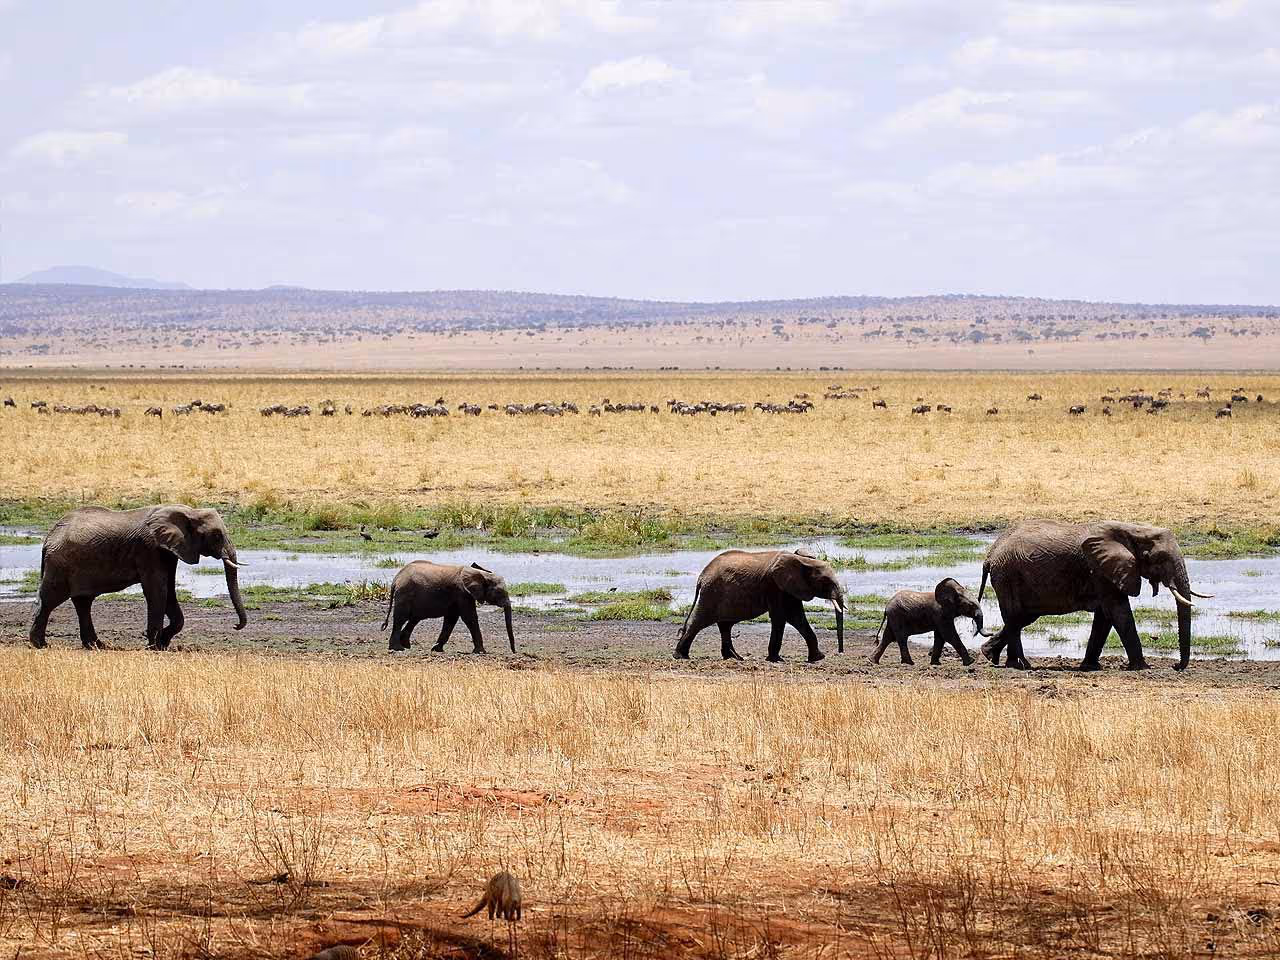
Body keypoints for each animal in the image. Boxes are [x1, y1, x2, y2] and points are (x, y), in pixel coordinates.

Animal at [29, 504, 247, 650]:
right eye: (217, 536)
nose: (235, 626)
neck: (189, 511)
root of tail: (48, 538)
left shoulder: (168, 551)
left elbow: (169, 590)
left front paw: (162, 643)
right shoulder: (149, 549)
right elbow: (157, 590)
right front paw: (154, 647)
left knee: (83, 602)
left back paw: (97, 646)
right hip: (59, 564)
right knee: (50, 600)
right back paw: (40, 645)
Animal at [381, 560, 515, 654]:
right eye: (499, 592)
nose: (514, 652)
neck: (481, 574)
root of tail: (396, 579)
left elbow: (451, 620)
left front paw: (436, 649)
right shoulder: (462, 593)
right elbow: (469, 618)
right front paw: (481, 652)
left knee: (414, 619)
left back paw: (405, 646)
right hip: (405, 594)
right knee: (400, 619)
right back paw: (397, 648)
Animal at [673, 549, 845, 663]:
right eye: (825, 581)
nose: (840, 652)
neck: (802, 560)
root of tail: (701, 577)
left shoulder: (789, 588)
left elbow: (797, 617)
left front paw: (818, 658)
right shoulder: (774, 586)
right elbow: (781, 617)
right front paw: (776, 660)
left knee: (725, 625)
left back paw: (735, 658)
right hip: (711, 593)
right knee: (700, 622)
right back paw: (681, 656)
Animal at [978, 519, 1210, 671]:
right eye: (1155, 557)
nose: (1176, 666)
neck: (1132, 529)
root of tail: (989, 555)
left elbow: (1104, 618)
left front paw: (1090, 666)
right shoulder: (1101, 571)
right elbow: (1119, 612)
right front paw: (1142, 668)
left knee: (1021, 618)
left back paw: (993, 657)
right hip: (1007, 576)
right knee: (1015, 617)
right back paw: (1020, 666)